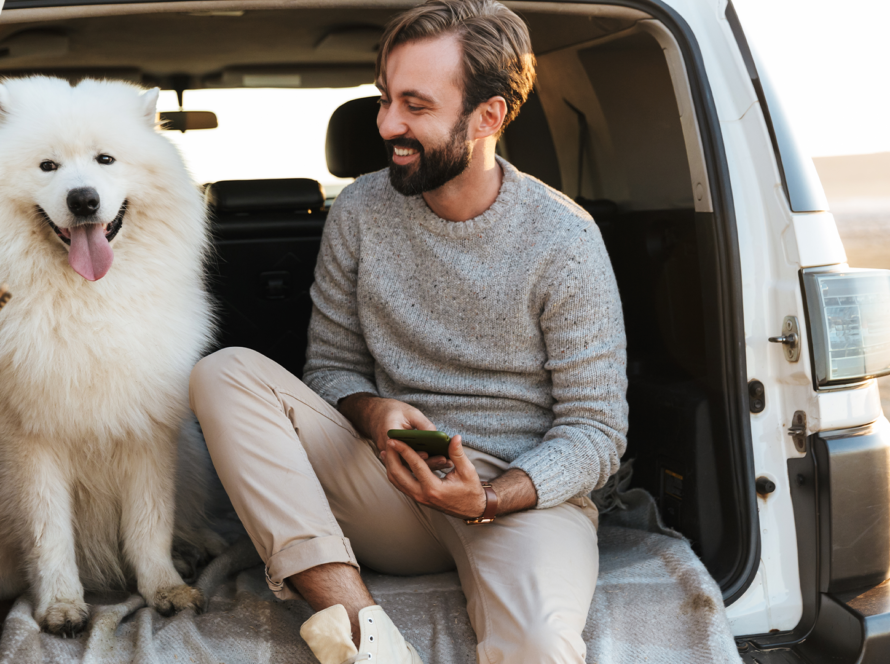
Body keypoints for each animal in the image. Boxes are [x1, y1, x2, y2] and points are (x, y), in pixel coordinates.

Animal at [0, 75, 222, 636]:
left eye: (106, 159)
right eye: (47, 166)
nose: (83, 200)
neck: (87, 299)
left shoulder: (148, 432)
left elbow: (150, 523)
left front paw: (165, 588)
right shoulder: (32, 442)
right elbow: (49, 532)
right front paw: (60, 605)